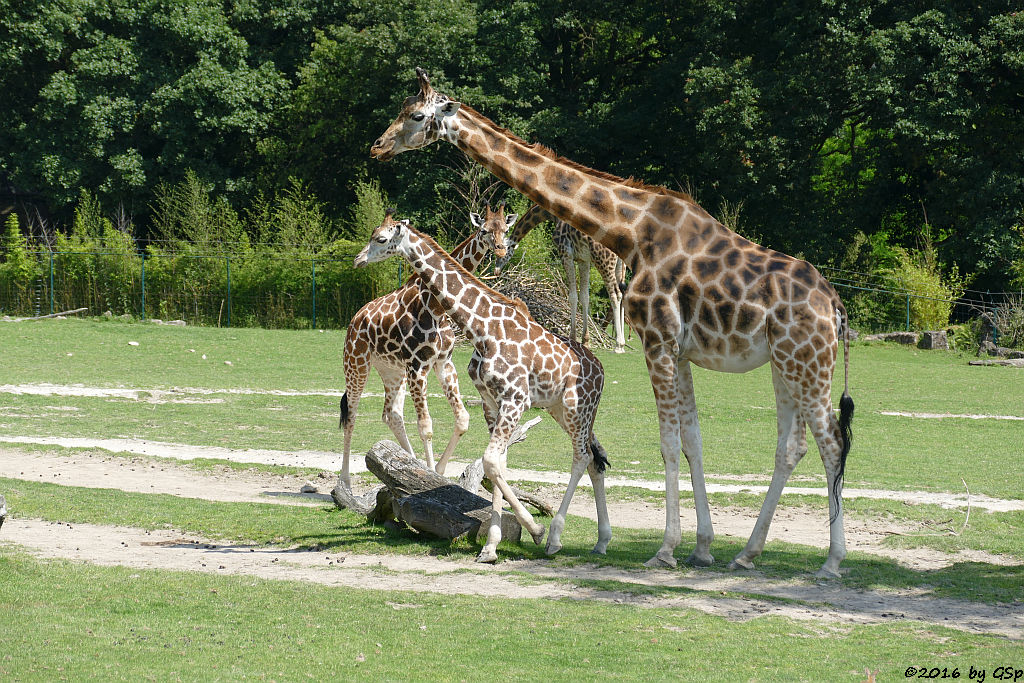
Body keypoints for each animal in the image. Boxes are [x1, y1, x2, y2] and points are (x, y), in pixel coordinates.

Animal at [337, 200, 516, 489]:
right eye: (484, 230)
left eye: (504, 229)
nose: (358, 259)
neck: (435, 307)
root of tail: (355, 319)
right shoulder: (418, 366)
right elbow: (426, 426)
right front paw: (429, 474)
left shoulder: (443, 362)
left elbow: (462, 419)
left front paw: (436, 471)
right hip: (356, 364)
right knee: (351, 415)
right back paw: (345, 483)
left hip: (391, 370)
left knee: (391, 414)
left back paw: (406, 462)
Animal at [354, 210, 606, 565]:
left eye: (380, 238)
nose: (358, 259)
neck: (481, 328)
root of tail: (600, 369)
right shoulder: (492, 401)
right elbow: (497, 463)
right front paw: (490, 546)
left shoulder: (515, 399)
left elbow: (490, 461)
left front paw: (535, 529)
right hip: (564, 411)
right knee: (596, 460)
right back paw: (602, 541)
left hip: (576, 408)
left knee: (581, 457)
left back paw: (555, 537)